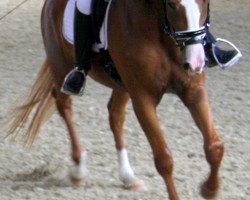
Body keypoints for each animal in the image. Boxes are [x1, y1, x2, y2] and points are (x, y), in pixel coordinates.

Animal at [5, 0, 225, 200]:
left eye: (205, 2)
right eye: (171, 5)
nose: (195, 62)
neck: (161, 32)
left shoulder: (193, 91)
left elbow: (215, 147)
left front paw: (209, 189)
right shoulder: (143, 99)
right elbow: (164, 159)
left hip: (122, 86)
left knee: (115, 116)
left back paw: (128, 176)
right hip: (61, 66)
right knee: (64, 106)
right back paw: (78, 169)